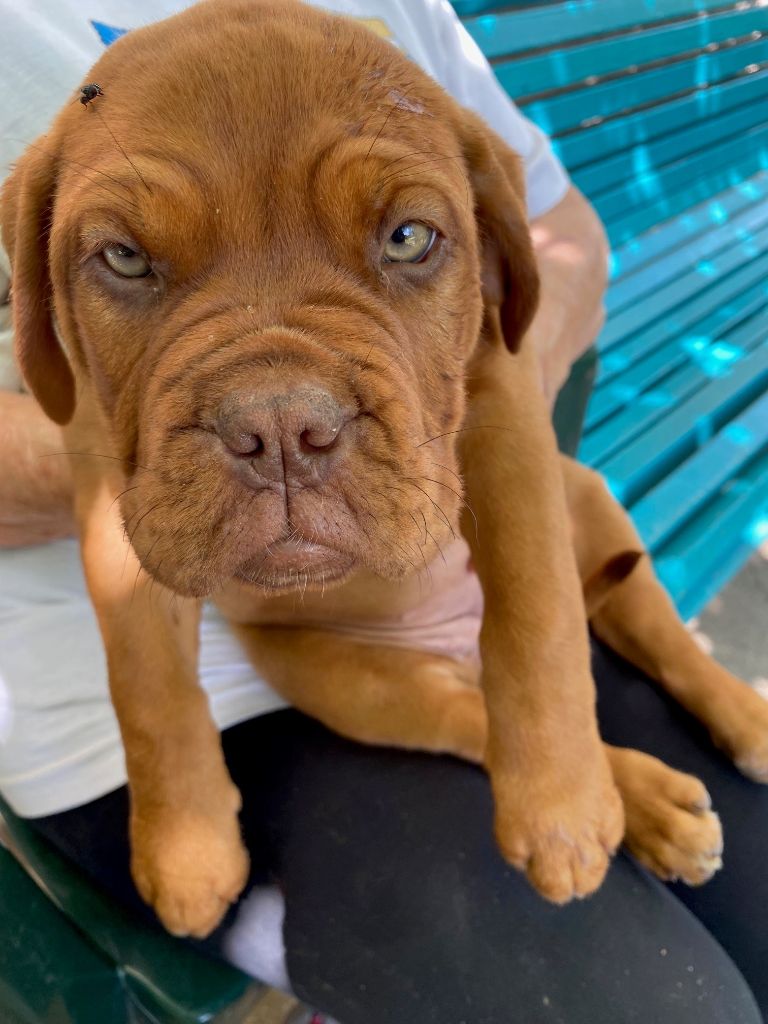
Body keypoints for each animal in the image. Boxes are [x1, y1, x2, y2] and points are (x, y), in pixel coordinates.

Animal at [3, 0, 765, 937]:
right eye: (124, 258)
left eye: (408, 238)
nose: (278, 427)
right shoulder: (106, 481)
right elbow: (143, 673)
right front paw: (187, 849)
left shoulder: (509, 402)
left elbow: (538, 606)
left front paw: (560, 804)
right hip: (349, 684)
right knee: (469, 710)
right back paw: (644, 800)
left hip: (584, 493)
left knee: (637, 618)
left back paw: (735, 724)